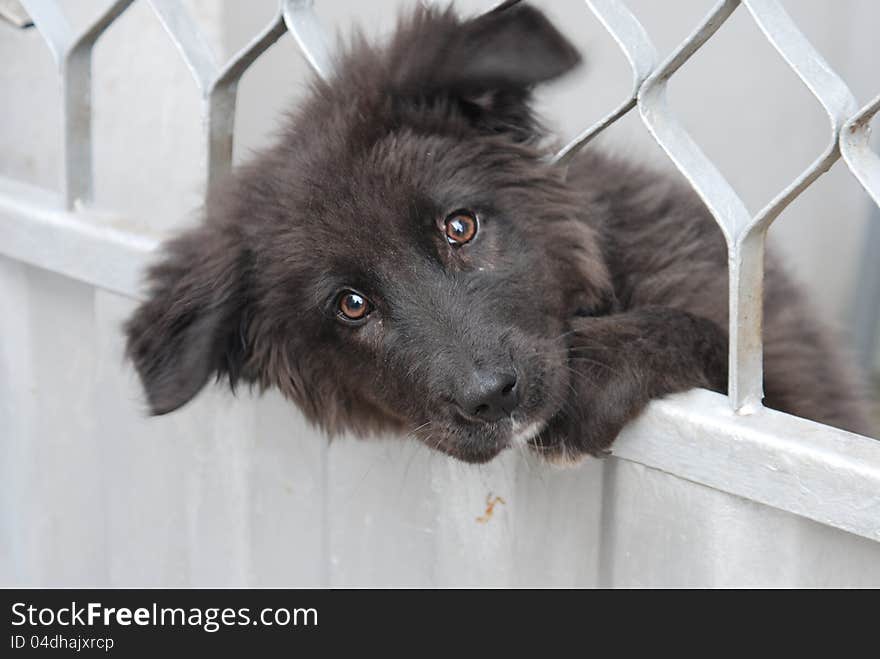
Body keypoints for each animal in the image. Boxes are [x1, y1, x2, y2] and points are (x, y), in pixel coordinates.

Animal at [124, 1, 872, 464]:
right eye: (351, 305)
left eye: (461, 227)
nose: (490, 397)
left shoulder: (807, 391)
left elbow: (708, 333)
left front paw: (601, 370)